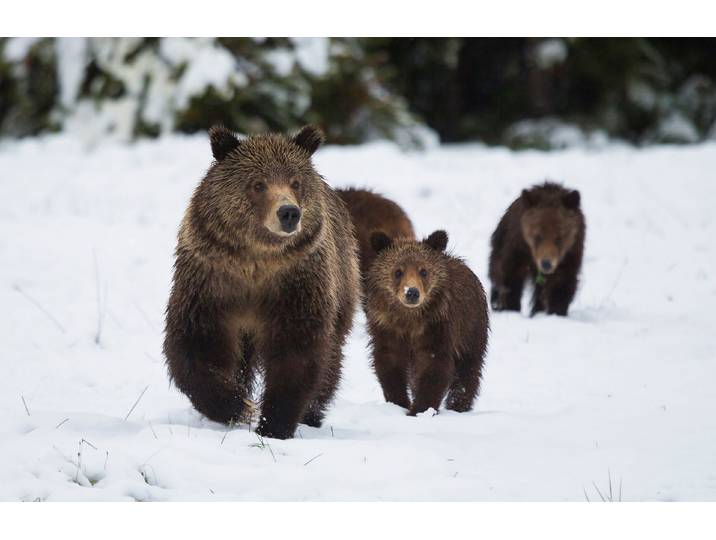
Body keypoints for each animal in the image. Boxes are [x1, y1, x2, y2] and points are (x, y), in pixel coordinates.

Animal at [163, 124, 360, 439]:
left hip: (342, 280)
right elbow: (196, 345)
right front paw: (235, 405)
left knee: (331, 357)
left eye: (295, 182)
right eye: (258, 184)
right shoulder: (211, 283)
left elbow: (296, 353)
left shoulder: (295, 285)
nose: (289, 212)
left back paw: (312, 413)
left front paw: (274, 424)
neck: (255, 262)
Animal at [365, 230, 489, 416]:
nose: (411, 292)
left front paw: (420, 410)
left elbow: (434, 366)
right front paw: (398, 403)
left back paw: (458, 404)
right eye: (398, 271)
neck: (409, 319)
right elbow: (389, 365)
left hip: (472, 328)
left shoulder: (436, 328)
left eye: (423, 271)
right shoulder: (387, 328)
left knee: (469, 368)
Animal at [488, 181, 585, 317]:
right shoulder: (517, 247)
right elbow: (510, 276)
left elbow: (561, 284)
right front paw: (510, 307)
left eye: (559, 237)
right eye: (537, 235)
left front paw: (556, 311)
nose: (546, 263)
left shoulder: (571, 253)